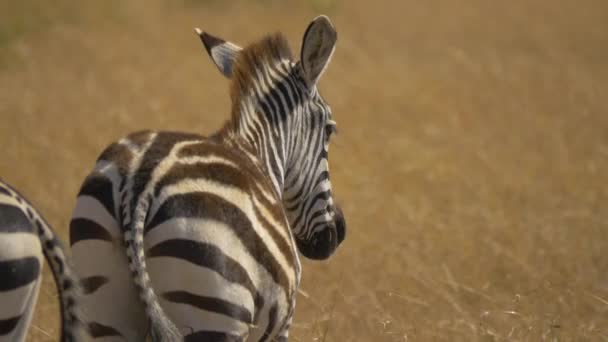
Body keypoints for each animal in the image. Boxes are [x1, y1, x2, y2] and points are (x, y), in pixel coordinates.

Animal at [69, 14, 344, 340]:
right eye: (330, 130)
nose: (336, 234)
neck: (256, 151)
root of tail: (139, 184)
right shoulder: (281, 326)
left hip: (103, 304)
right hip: (216, 302)